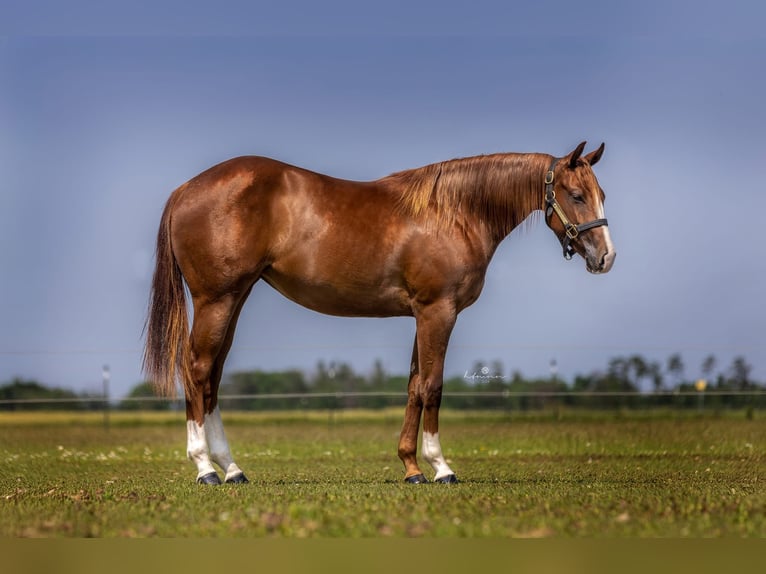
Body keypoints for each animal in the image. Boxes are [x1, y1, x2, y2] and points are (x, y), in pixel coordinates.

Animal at [143, 141, 615, 485]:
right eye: (576, 195)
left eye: (601, 194)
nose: (606, 257)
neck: (453, 213)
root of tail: (186, 189)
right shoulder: (438, 311)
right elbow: (432, 387)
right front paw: (441, 468)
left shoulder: (421, 315)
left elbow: (413, 386)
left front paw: (411, 468)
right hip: (216, 299)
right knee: (198, 371)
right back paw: (205, 468)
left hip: (234, 299)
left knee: (213, 376)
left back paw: (232, 469)